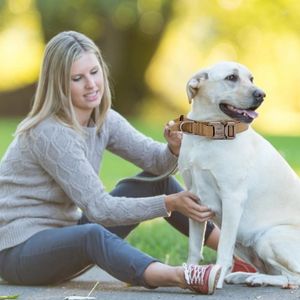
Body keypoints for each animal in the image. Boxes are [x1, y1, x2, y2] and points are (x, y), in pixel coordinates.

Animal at [175, 61, 300, 288]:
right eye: (231, 78)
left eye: (251, 79)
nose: (261, 94)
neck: (209, 134)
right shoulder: (195, 201)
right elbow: (194, 248)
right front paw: (190, 274)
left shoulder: (232, 199)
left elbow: (224, 250)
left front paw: (216, 277)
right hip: (246, 244)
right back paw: (244, 276)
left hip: (268, 237)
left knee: (293, 278)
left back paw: (258, 279)